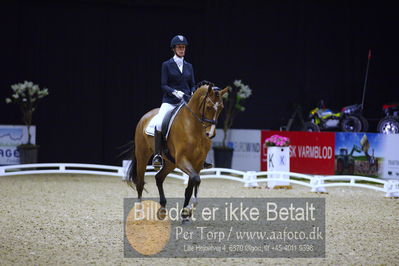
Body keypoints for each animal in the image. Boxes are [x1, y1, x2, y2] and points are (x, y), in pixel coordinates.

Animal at [126, 84, 230, 221]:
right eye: (208, 107)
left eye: (221, 108)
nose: (210, 134)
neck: (195, 128)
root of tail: (146, 116)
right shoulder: (182, 160)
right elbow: (196, 180)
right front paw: (190, 209)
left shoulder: (197, 163)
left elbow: (191, 186)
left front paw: (186, 214)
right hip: (143, 155)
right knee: (140, 182)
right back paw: (139, 213)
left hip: (171, 163)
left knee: (159, 178)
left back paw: (162, 210)